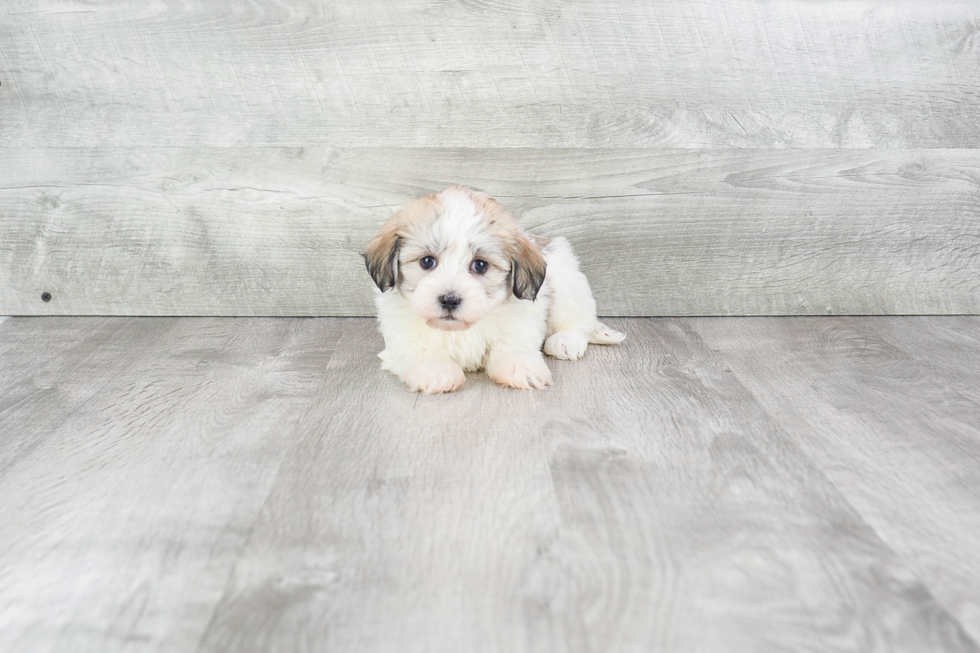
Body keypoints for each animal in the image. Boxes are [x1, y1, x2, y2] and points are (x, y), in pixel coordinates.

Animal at [364, 186, 624, 394]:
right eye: (427, 262)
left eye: (480, 265)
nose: (449, 300)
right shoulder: (402, 334)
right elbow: (420, 348)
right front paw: (436, 371)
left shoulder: (521, 319)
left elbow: (512, 343)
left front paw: (520, 365)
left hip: (567, 281)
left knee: (577, 321)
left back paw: (564, 341)